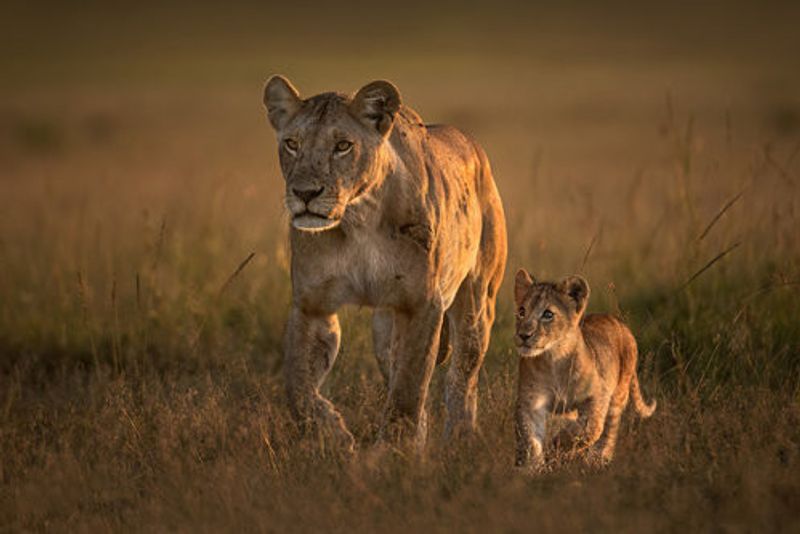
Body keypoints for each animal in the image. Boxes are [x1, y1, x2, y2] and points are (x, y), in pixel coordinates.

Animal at [262, 76, 507, 451]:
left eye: (343, 146)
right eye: (291, 144)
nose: (305, 193)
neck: (358, 218)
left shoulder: (421, 304)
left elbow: (408, 388)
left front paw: (394, 451)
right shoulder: (312, 305)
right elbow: (298, 387)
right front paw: (333, 435)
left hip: (477, 301)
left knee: (462, 375)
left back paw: (460, 438)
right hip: (384, 327)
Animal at [512, 270, 656, 466]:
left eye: (548, 314)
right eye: (521, 311)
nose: (523, 335)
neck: (553, 360)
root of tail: (620, 323)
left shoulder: (598, 395)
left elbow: (591, 428)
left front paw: (557, 445)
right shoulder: (531, 401)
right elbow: (531, 440)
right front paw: (533, 466)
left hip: (618, 395)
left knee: (609, 432)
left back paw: (596, 460)